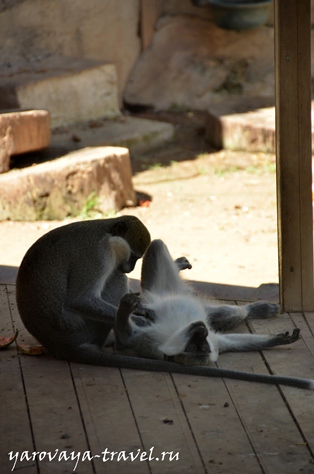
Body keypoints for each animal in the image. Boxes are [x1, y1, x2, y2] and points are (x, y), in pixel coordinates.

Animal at [16, 218, 314, 388]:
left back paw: (253, 309)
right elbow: (81, 299)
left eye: (135, 258)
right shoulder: (98, 254)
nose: (129, 267)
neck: (101, 230)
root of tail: (58, 345)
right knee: (116, 279)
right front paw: (139, 314)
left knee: (228, 313)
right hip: (92, 325)